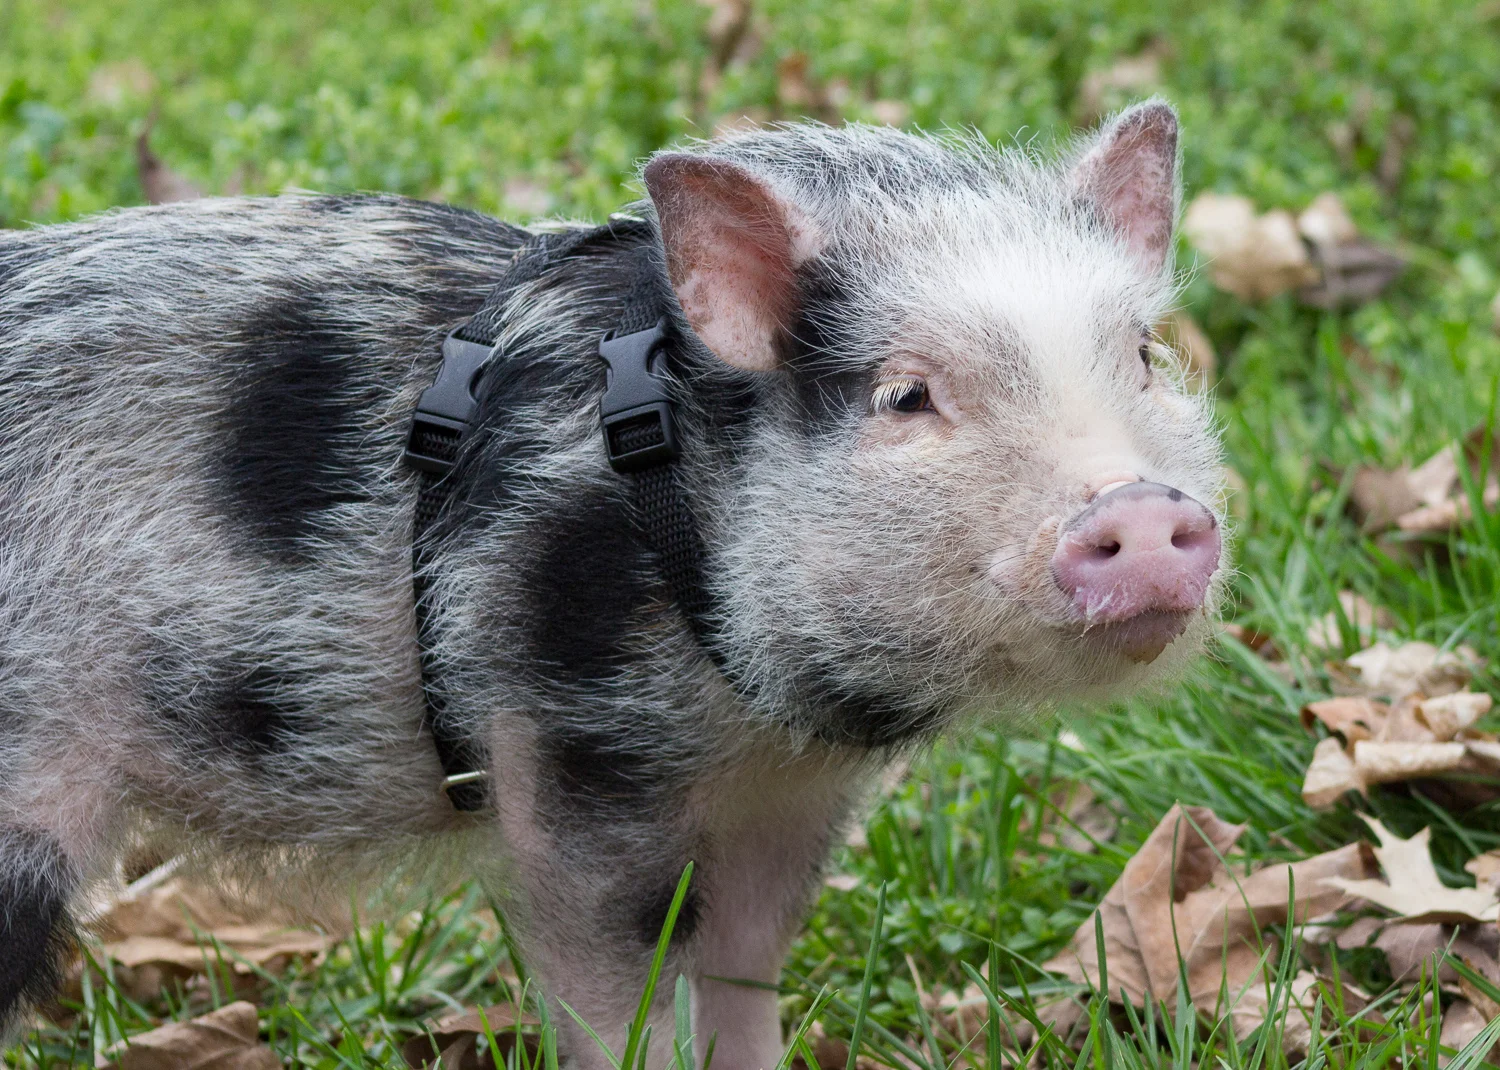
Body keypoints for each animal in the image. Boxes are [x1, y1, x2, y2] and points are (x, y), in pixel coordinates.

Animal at [0, 99, 1223, 1065]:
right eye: (905, 395)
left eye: (1144, 357)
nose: (1139, 508)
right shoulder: (569, 743)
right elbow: (614, 988)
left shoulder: (780, 801)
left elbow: (743, 973)